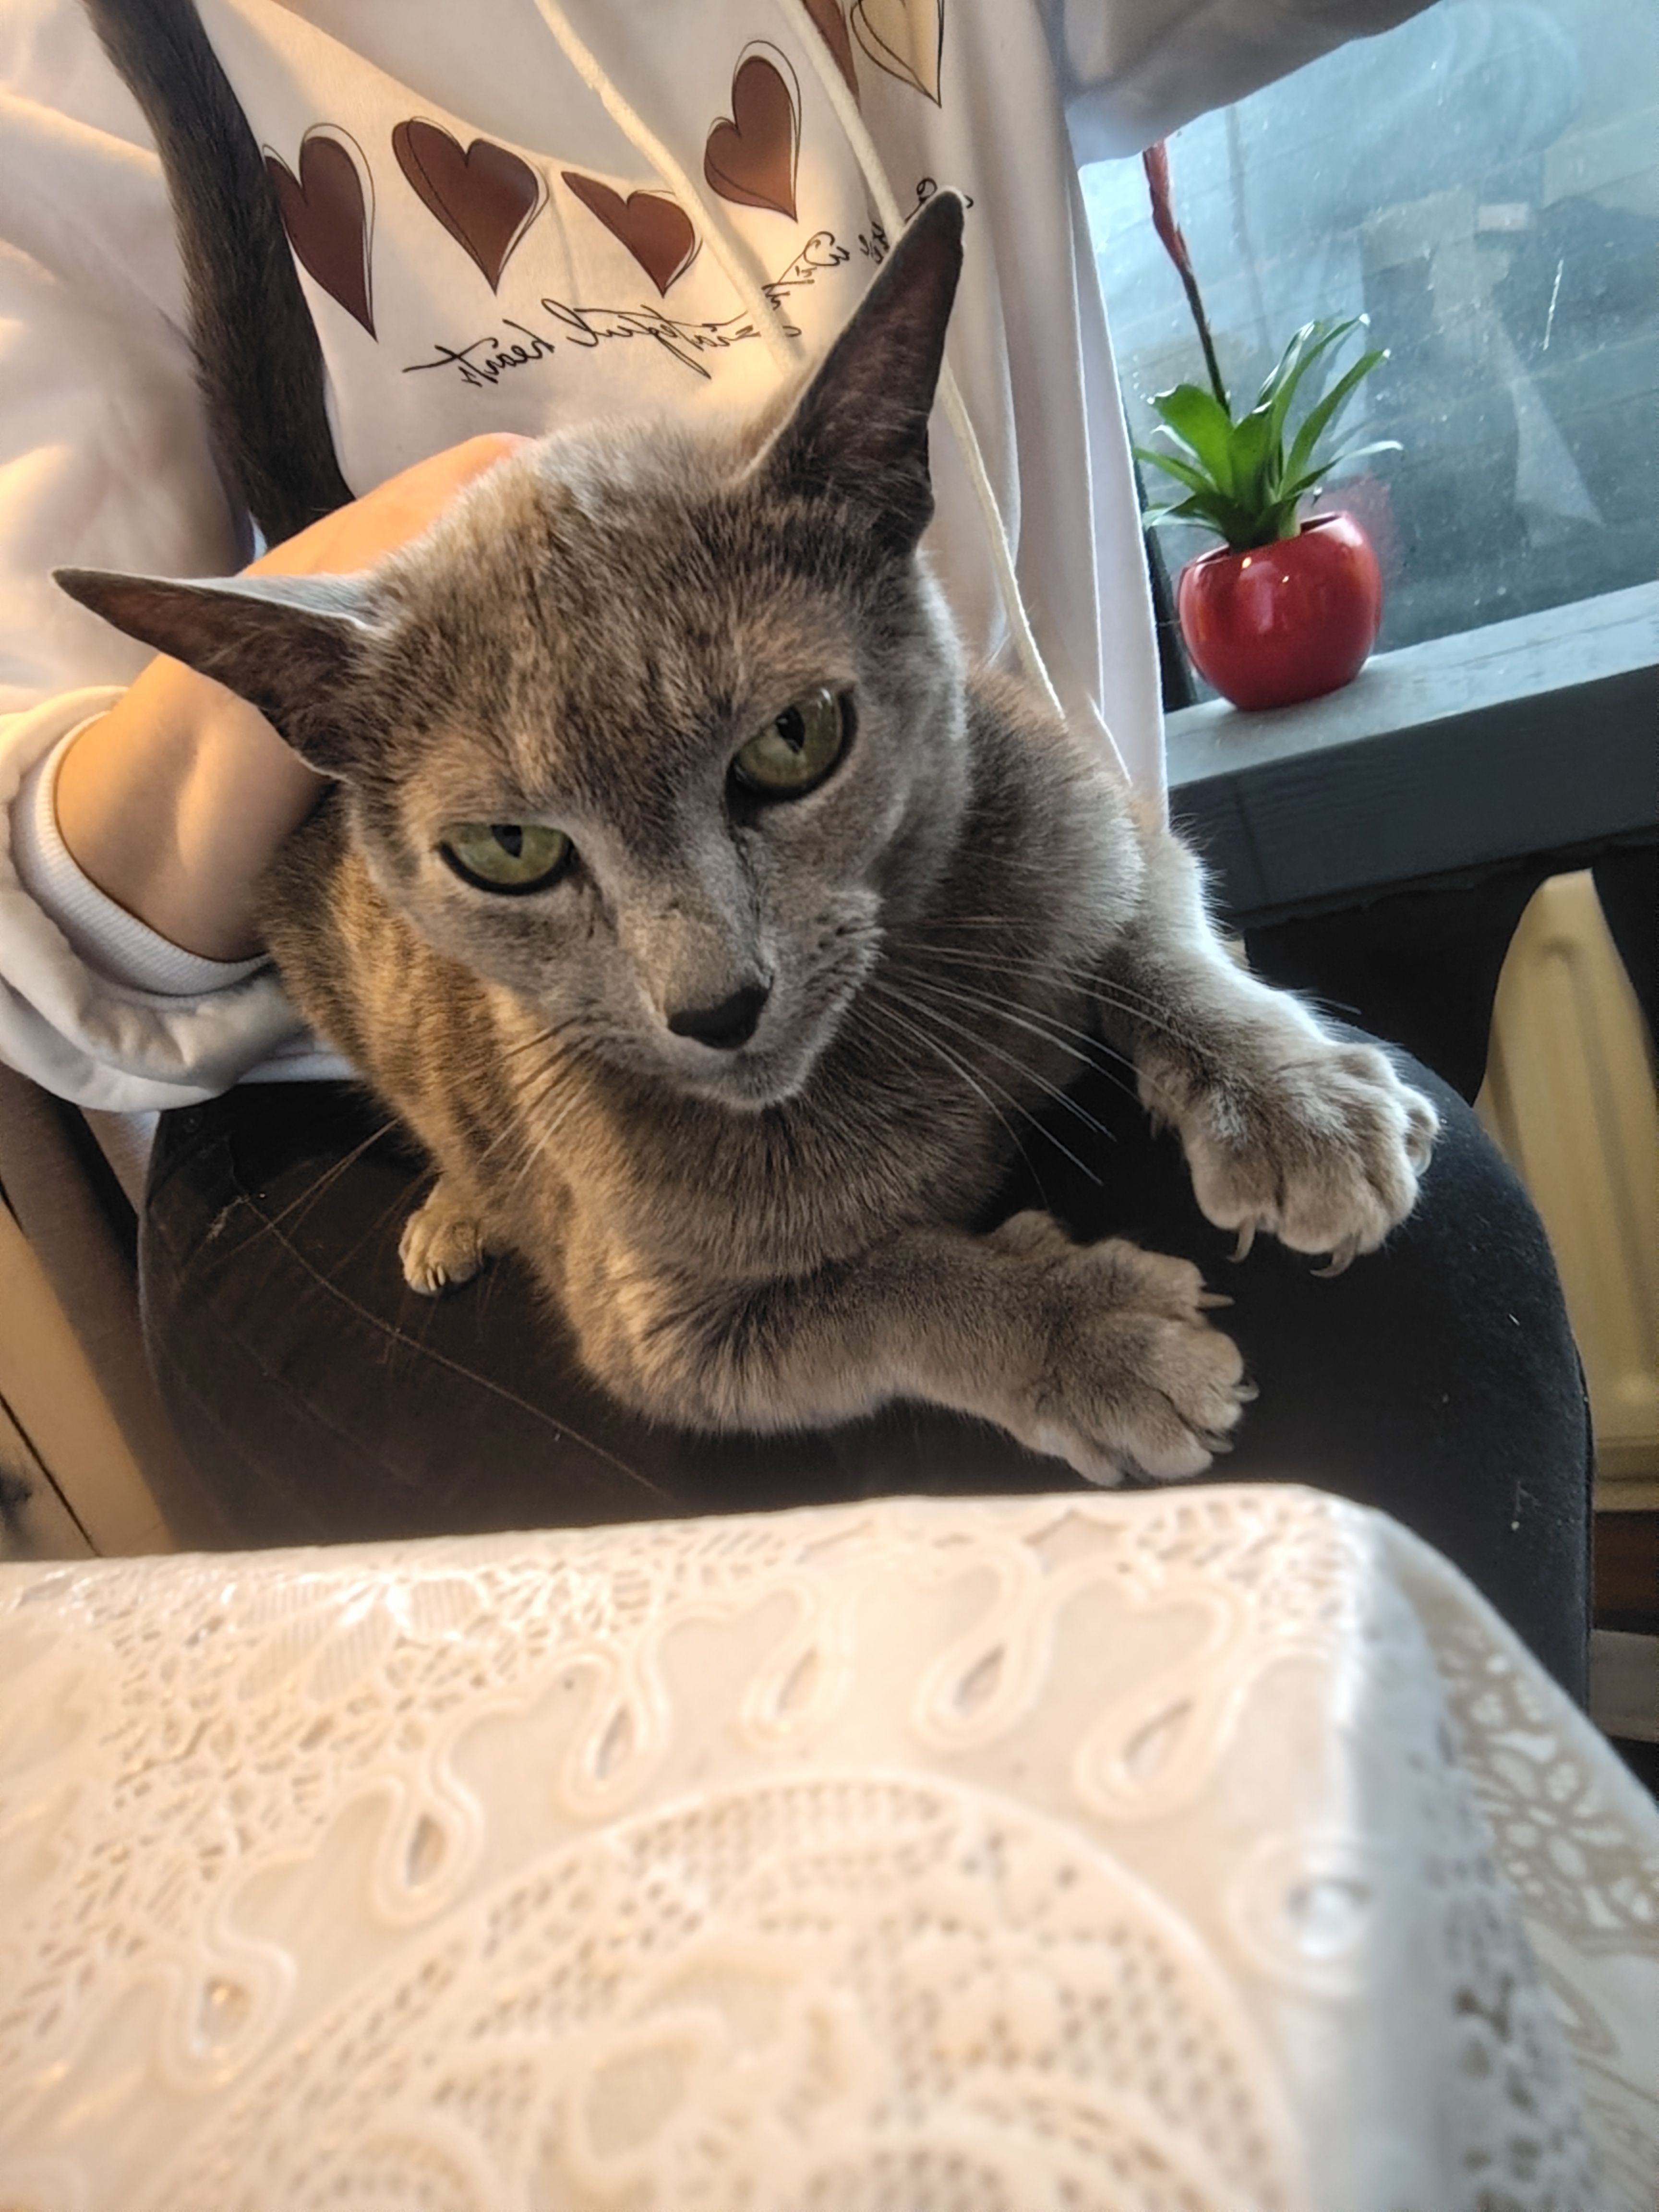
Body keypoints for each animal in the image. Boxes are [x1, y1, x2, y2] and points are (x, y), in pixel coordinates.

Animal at [57, 190, 1437, 1485]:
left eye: (793, 740)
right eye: (507, 850)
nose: (716, 1003)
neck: (901, 1049)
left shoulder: (1090, 813)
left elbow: (1156, 932)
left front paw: (1299, 1108)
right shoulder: (665, 1330)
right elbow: (889, 1287)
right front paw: (1100, 1342)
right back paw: (459, 1211)